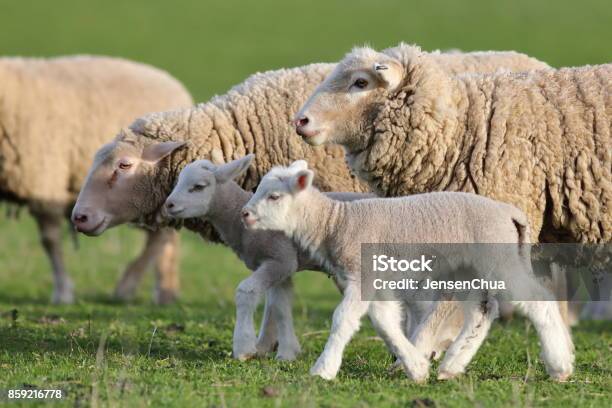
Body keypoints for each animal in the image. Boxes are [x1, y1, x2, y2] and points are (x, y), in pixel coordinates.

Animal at [0, 55, 194, 302]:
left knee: (161, 238)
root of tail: (172, 83)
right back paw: (165, 291)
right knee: (165, 239)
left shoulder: (44, 180)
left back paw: (130, 287)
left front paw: (62, 292)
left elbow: (50, 240)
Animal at [71, 51, 548, 356]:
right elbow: (278, 292)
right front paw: (271, 344)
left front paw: (262, 344)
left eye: (125, 165)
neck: (243, 130)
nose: (79, 216)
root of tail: (533, 62)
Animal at [240, 160, 572, 382]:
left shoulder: (364, 274)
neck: (337, 222)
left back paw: (560, 366)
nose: (244, 214)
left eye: (274, 196)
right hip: (470, 267)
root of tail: (509, 213)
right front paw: (416, 366)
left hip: (499, 260)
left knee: (537, 301)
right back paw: (450, 367)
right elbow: (385, 321)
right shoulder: (377, 280)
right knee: (482, 311)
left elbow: (343, 319)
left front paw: (323, 368)